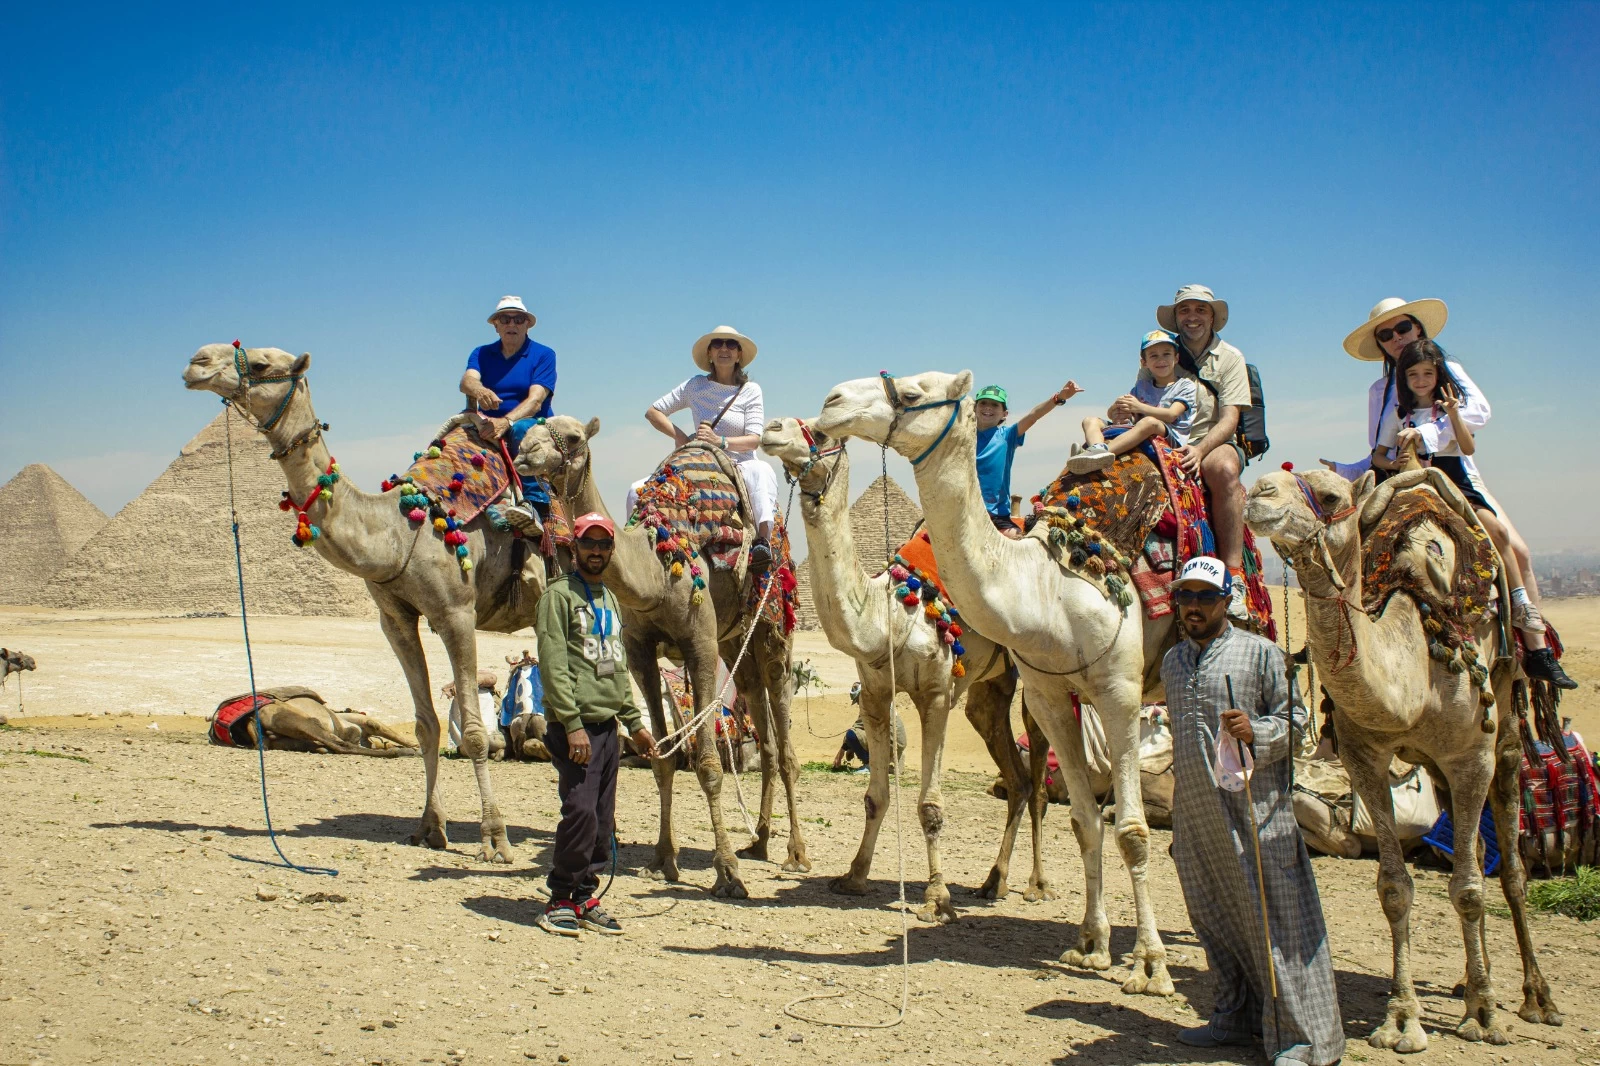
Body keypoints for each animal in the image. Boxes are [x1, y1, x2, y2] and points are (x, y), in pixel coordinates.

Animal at [183, 343, 538, 863]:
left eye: (266, 363)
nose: (198, 362)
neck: (399, 531)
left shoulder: (457, 613)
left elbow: (474, 731)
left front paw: (495, 838)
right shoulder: (396, 619)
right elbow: (427, 725)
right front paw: (429, 828)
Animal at [515, 415, 809, 898]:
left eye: (573, 436)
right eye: (531, 431)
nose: (524, 453)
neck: (655, 571)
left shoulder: (700, 646)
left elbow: (707, 764)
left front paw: (727, 873)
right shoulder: (639, 651)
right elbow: (662, 757)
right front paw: (662, 860)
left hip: (773, 626)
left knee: (782, 725)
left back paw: (795, 853)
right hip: (734, 640)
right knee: (758, 717)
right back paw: (759, 842)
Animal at [760, 416, 1053, 922]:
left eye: (821, 431)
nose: (772, 427)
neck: (890, 615)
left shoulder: (935, 693)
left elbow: (930, 805)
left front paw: (936, 898)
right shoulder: (876, 693)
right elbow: (875, 797)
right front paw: (854, 877)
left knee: (1038, 781)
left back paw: (1036, 884)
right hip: (990, 691)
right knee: (1017, 779)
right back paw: (993, 882)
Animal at [1245, 466, 1562, 1051]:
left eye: (1330, 495)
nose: (1259, 493)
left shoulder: (1471, 756)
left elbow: (1469, 888)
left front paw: (1485, 1015)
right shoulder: (1364, 755)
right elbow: (1395, 888)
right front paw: (1402, 1019)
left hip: (1504, 730)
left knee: (1508, 869)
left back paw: (1534, 997)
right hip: (1436, 767)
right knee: (1471, 851)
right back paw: (1470, 977)